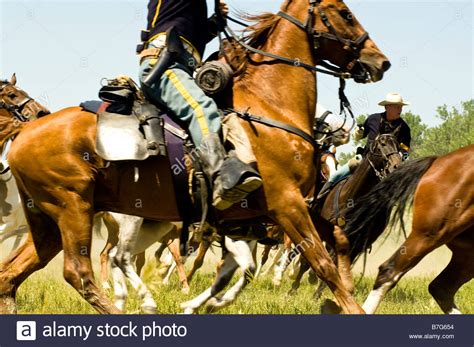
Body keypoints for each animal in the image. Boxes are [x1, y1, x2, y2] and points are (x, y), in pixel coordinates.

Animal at [0, 0, 388, 316]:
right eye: (345, 13)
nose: (380, 62)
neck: (269, 107)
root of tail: (26, 132)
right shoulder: (286, 203)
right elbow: (320, 262)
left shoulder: (288, 208)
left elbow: (335, 243)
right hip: (73, 208)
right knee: (79, 273)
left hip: (49, 219)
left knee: (12, 274)